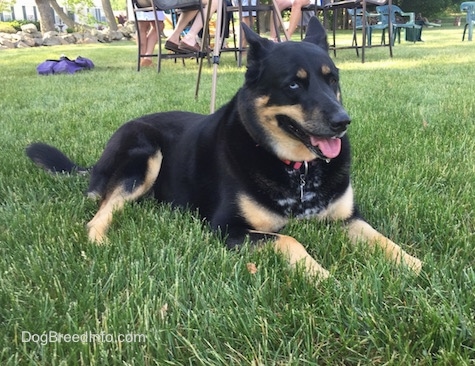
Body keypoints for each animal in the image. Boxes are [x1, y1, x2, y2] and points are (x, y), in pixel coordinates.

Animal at [26, 18, 422, 278]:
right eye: (294, 85)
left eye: (332, 79)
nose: (343, 121)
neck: (297, 170)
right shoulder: (227, 229)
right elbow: (289, 238)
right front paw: (322, 276)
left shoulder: (347, 219)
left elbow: (382, 239)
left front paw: (415, 266)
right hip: (144, 154)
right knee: (100, 209)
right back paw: (100, 241)